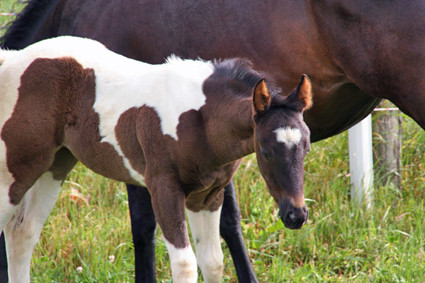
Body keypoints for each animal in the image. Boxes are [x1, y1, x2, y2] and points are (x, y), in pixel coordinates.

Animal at [3, 0, 424, 282]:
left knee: (20, 230)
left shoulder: (204, 190)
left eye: (305, 148)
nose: (296, 216)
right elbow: (178, 246)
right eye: (266, 151)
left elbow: (211, 248)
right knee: (19, 229)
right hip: (33, 164)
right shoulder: (162, 183)